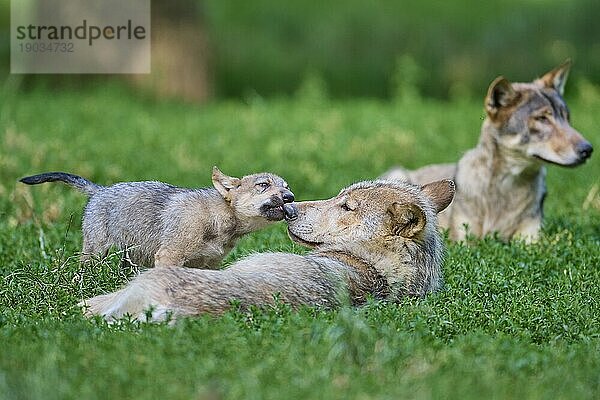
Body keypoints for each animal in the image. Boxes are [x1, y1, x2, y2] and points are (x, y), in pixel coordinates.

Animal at [19, 166, 296, 268]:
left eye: (286, 186)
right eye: (263, 185)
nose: (290, 197)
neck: (218, 218)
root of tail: (100, 189)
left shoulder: (208, 265)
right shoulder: (169, 256)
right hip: (96, 252)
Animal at [382, 59, 592, 241]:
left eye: (566, 118)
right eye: (542, 119)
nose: (588, 149)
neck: (509, 189)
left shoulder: (531, 238)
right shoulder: (465, 240)